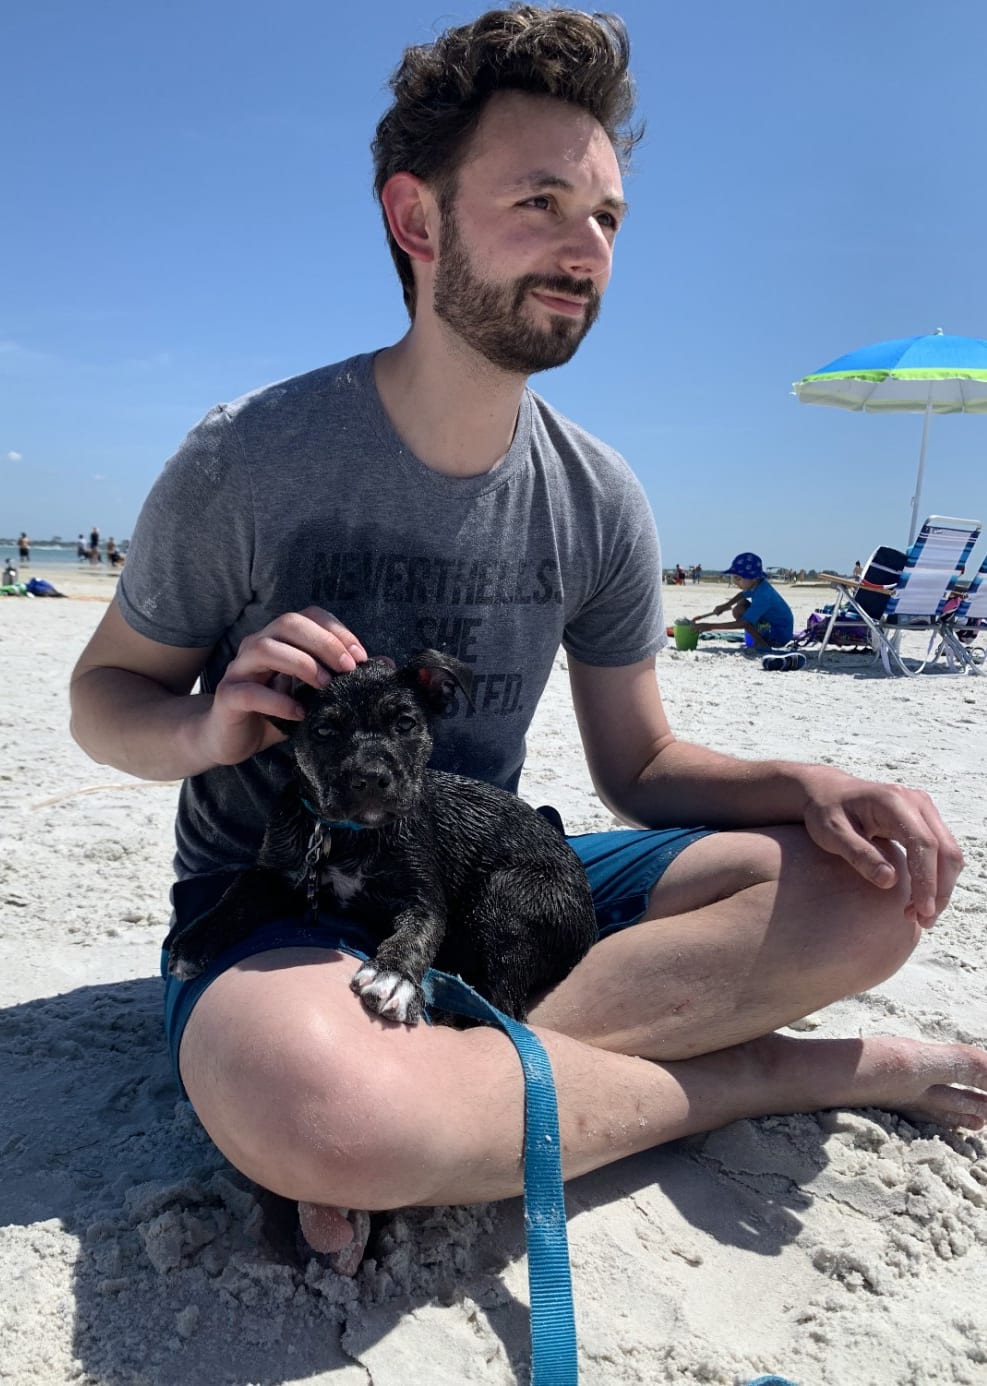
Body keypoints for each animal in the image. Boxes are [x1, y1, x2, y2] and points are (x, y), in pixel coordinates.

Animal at [164, 650, 598, 1024]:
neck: (350, 834)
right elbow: (237, 894)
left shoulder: (423, 899)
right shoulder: (275, 870)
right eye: (324, 730)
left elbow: (416, 936)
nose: (371, 777)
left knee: (507, 1008)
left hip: (510, 897)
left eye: (405, 724)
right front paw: (197, 938)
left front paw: (394, 976)